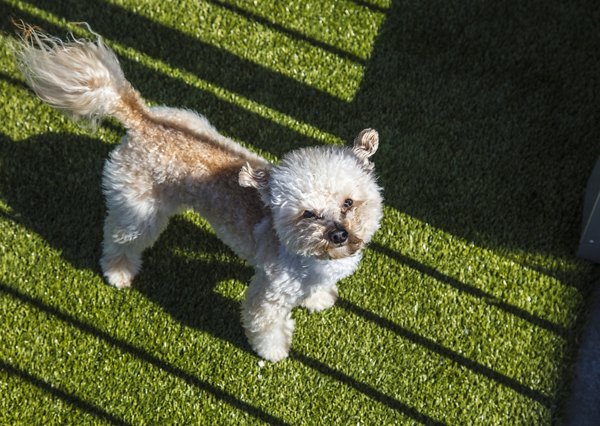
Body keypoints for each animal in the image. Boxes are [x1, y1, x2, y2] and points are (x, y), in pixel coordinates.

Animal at [15, 25, 384, 362]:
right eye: (308, 213)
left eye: (348, 203)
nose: (338, 234)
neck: (316, 258)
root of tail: (141, 118)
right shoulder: (268, 294)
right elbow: (264, 325)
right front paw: (274, 353)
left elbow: (316, 290)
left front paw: (319, 299)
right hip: (139, 211)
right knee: (119, 239)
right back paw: (118, 273)